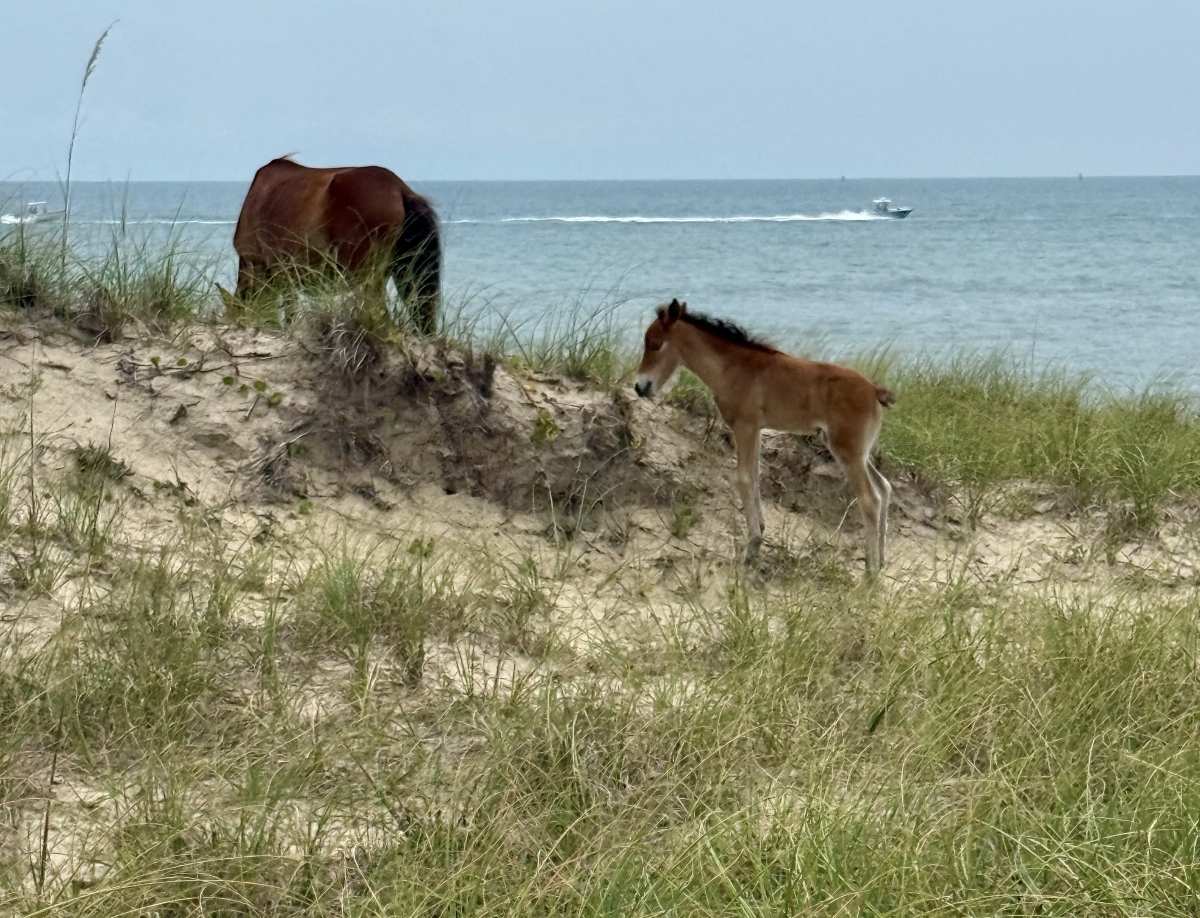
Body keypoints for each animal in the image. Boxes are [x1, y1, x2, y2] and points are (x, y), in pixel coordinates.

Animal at [634, 299, 896, 575]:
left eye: (654, 343)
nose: (640, 387)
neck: (733, 367)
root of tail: (874, 390)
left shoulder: (745, 427)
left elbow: (744, 479)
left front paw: (752, 547)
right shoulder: (757, 430)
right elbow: (756, 477)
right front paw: (759, 534)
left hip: (847, 452)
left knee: (870, 500)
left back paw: (870, 574)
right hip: (859, 453)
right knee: (884, 487)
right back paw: (880, 561)